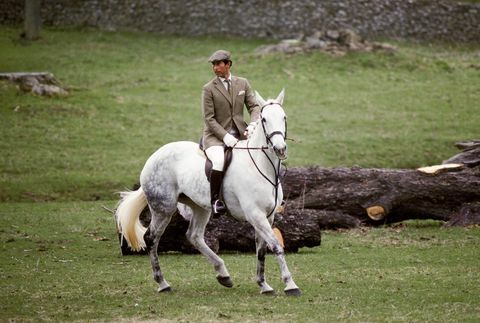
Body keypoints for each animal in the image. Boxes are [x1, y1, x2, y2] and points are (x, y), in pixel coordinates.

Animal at [116, 90, 300, 298]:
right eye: (264, 119)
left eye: (284, 117)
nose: (280, 148)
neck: (261, 166)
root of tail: (154, 156)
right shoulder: (255, 215)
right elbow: (276, 245)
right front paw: (290, 285)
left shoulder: (267, 216)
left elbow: (261, 250)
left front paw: (264, 285)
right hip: (163, 209)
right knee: (151, 238)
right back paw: (163, 283)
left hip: (200, 208)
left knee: (194, 236)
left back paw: (223, 275)